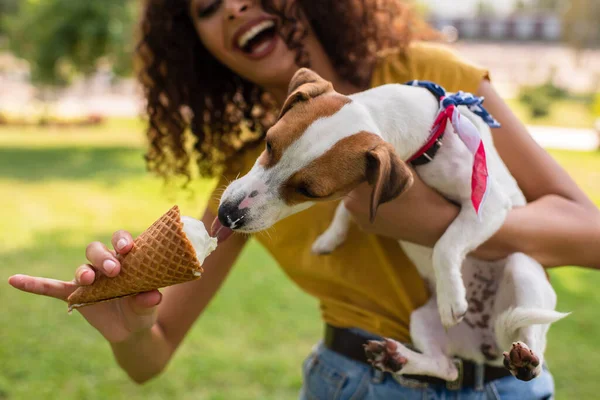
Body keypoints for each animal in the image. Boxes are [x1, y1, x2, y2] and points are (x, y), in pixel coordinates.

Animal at [216, 68, 568, 382]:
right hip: (421, 319)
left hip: (524, 273)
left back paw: (525, 360)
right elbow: (345, 211)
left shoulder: (489, 203)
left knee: (534, 344)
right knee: (446, 367)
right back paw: (398, 359)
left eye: (310, 191)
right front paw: (331, 237)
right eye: (269, 143)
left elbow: (446, 245)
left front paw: (452, 296)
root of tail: (485, 347)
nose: (227, 215)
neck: (428, 138)